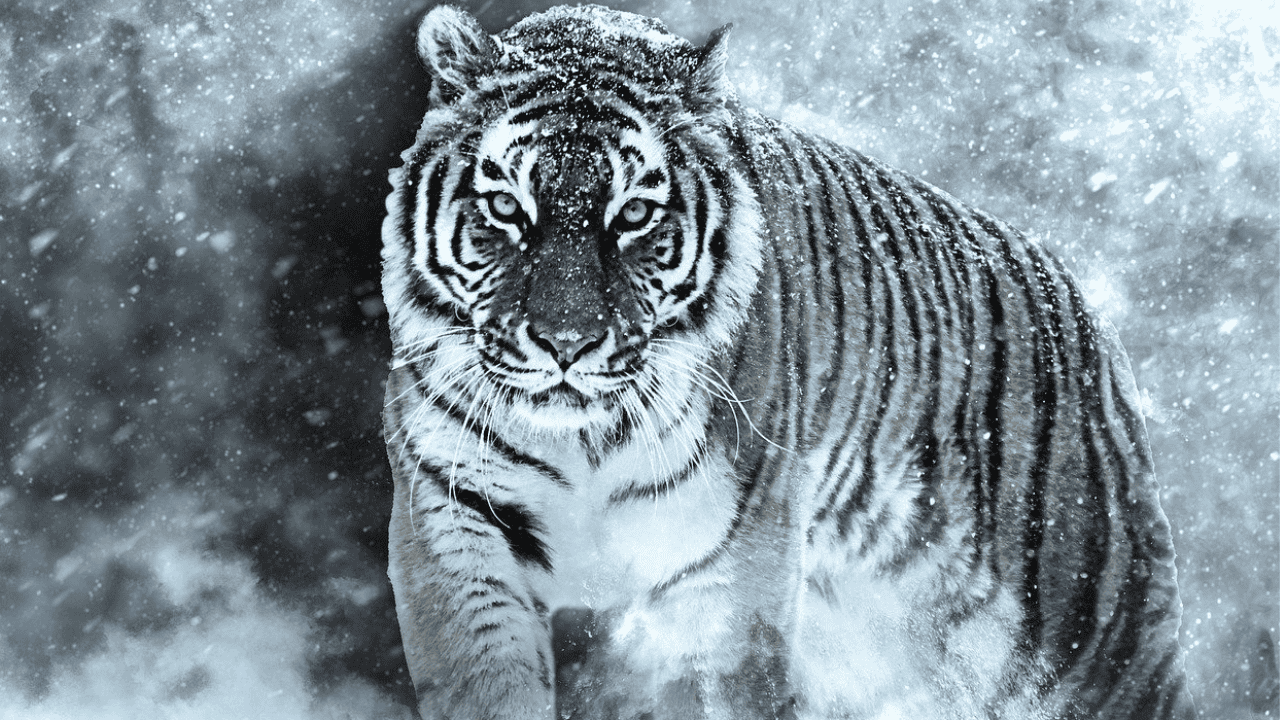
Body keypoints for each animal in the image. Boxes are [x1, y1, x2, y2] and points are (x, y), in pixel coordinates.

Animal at [379, 5, 1195, 719]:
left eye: (634, 214)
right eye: (506, 208)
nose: (566, 342)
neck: (585, 442)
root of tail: (1080, 303)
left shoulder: (728, 583)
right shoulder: (455, 536)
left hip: (1089, 636)